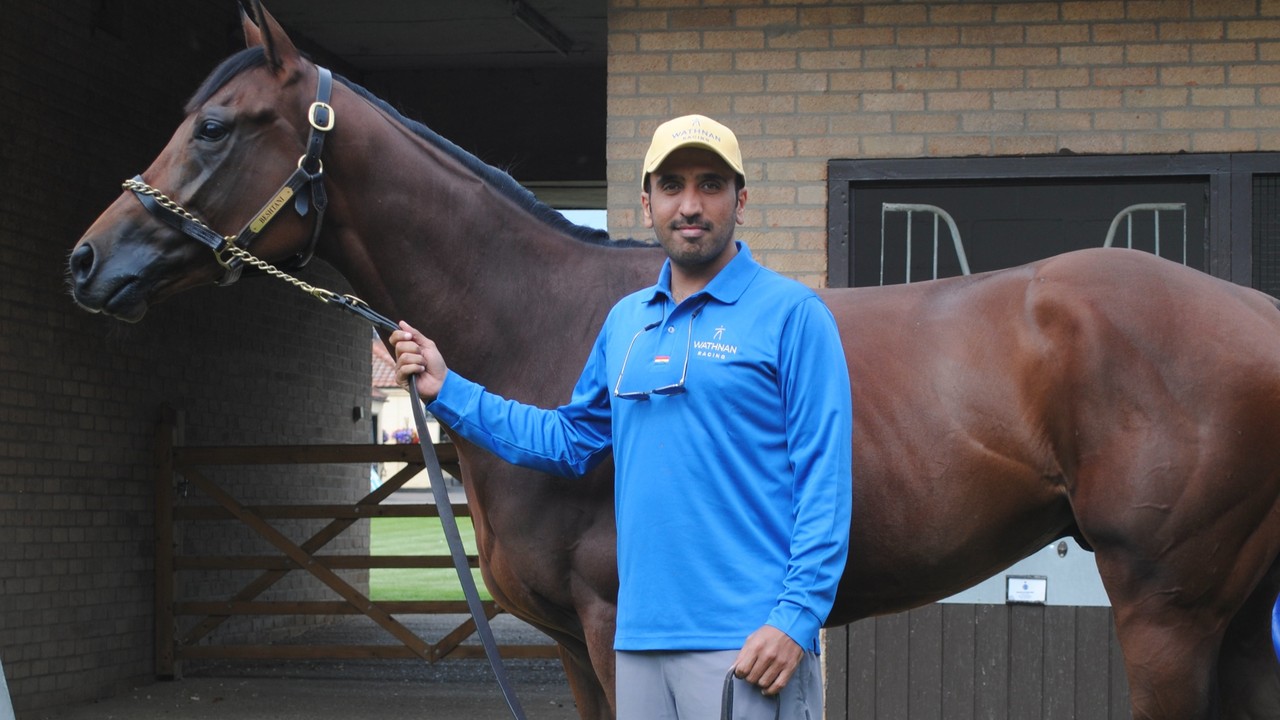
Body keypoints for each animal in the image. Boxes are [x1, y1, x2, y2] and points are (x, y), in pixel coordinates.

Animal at [67, 4, 1280, 712]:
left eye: (216, 125)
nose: (88, 260)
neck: (539, 329)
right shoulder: (569, 645)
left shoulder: (613, 626)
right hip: (1232, 619)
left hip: (1167, 613)